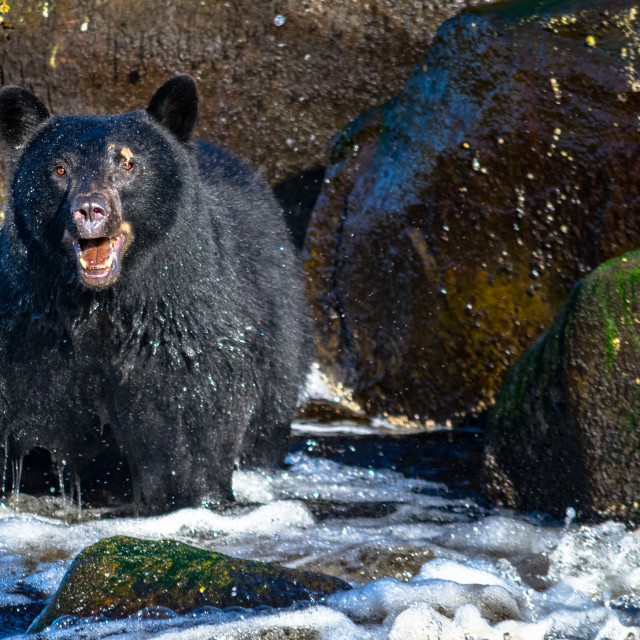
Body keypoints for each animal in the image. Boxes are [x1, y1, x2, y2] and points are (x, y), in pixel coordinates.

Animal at [0, 76, 308, 516]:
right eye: (59, 168)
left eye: (127, 163)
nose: (89, 210)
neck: (103, 304)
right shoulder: (32, 333)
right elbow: (31, 419)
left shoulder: (181, 336)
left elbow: (186, 431)